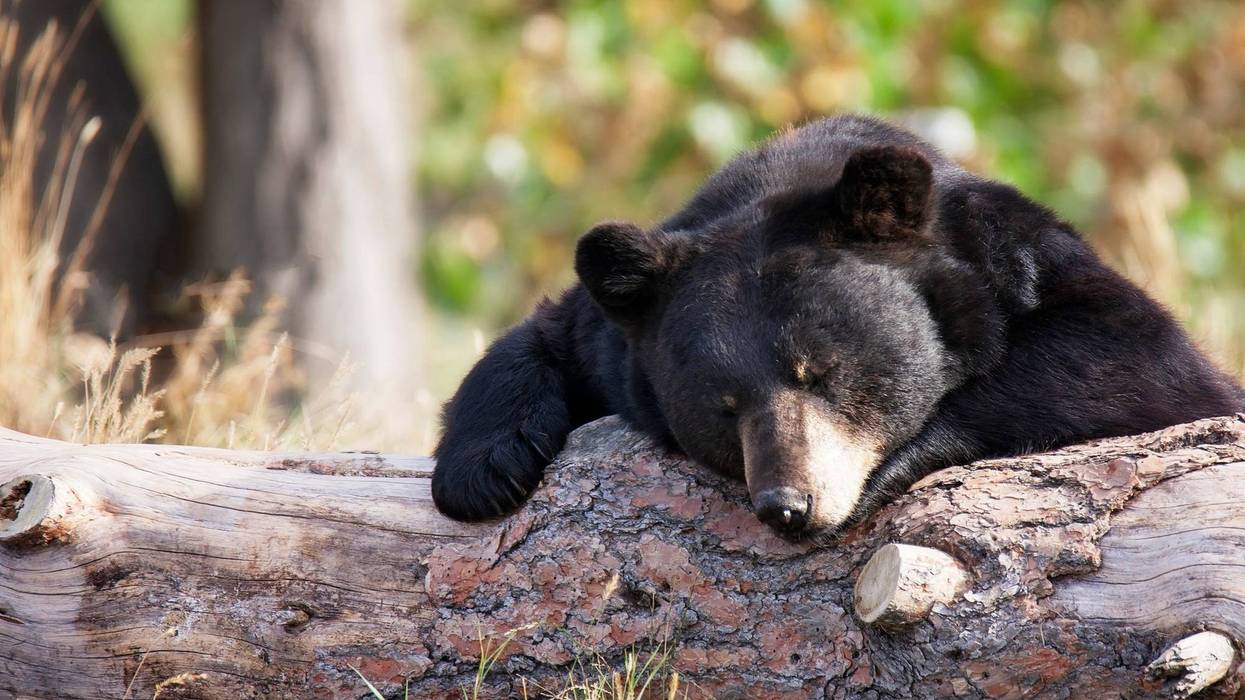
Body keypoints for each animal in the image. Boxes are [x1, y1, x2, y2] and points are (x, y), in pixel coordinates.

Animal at [431, 114, 1244, 539]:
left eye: (821, 373)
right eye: (723, 406)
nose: (787, 506)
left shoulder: (1021, 260)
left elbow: (1136, 359)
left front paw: (898, 456)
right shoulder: (617, 335)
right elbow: (539, 336)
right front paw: (482, 473)